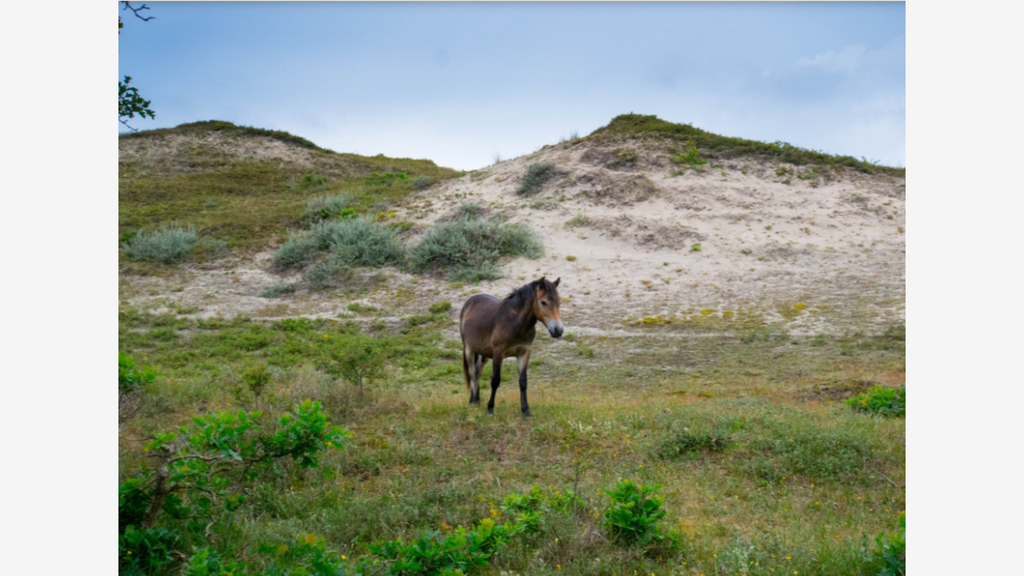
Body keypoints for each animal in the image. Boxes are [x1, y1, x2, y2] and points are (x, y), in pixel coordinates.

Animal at [459, 277, 564, 417]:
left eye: (559, 302)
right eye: (543, 302)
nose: (558, 330)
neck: (515, 323)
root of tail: (471, 300)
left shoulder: (524, 353)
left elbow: (523, 382)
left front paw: (526, 411)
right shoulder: (498, 353)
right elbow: (495, 381)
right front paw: (490, 409)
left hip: (483, 353)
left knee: (477, 373)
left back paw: (477, 400)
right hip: (469, 349)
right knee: (471, 373)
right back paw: (472, 401)